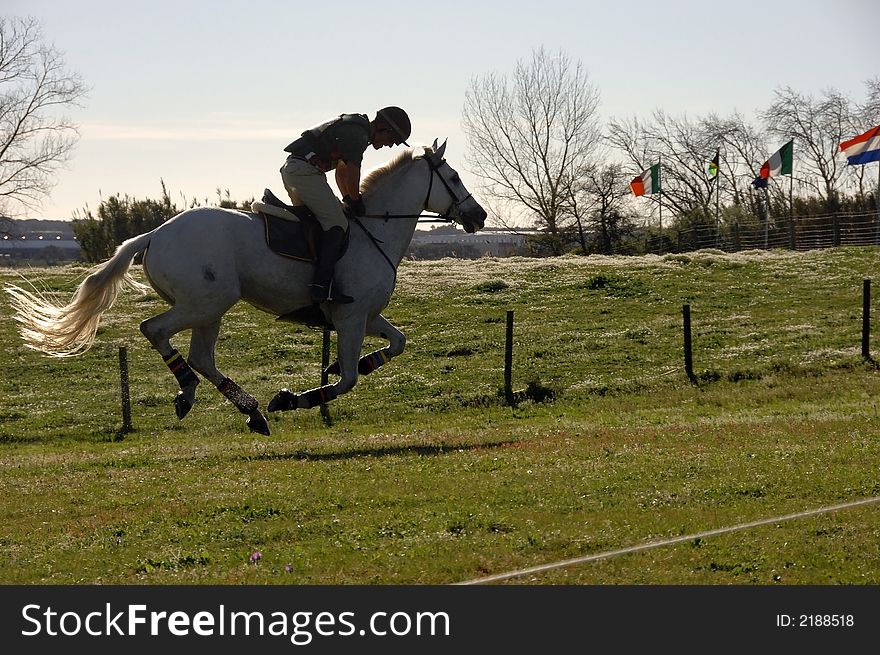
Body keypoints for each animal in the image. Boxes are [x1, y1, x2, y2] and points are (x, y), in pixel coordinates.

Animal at [3, 141, 488, 436]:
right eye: (455, 178)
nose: (479, 216)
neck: (376, 232)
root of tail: (155, 235)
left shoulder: (365, 316)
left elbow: (396, 344)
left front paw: (348, 367)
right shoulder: (350, 319)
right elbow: (347, 379)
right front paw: (292, 399)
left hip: (209, 310)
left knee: (201, 356)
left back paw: (248, 410)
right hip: (205, 303)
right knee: (155, 330)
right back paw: (196, 393)